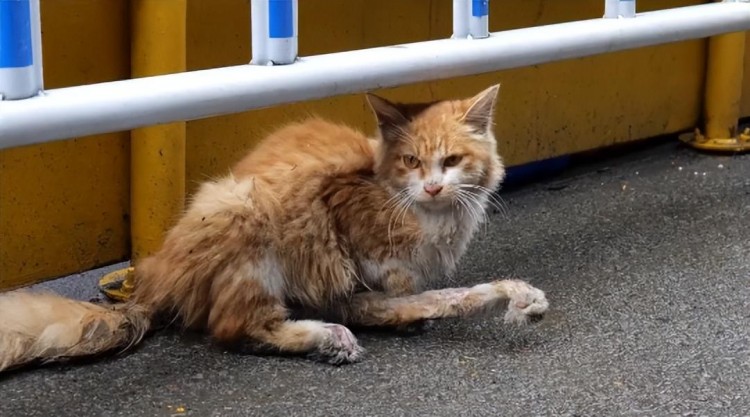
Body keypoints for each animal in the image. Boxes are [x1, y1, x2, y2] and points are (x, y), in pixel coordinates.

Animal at [0, 83, 548, 368]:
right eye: (411, 161)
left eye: (452, 161)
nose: (432, 187)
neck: (433, 219)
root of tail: (151, 280)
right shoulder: (342, 240)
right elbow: (411, 287)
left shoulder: (371, 292)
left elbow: (438, 297)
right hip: (245, 217)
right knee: (236, 329)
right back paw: (329, 338)